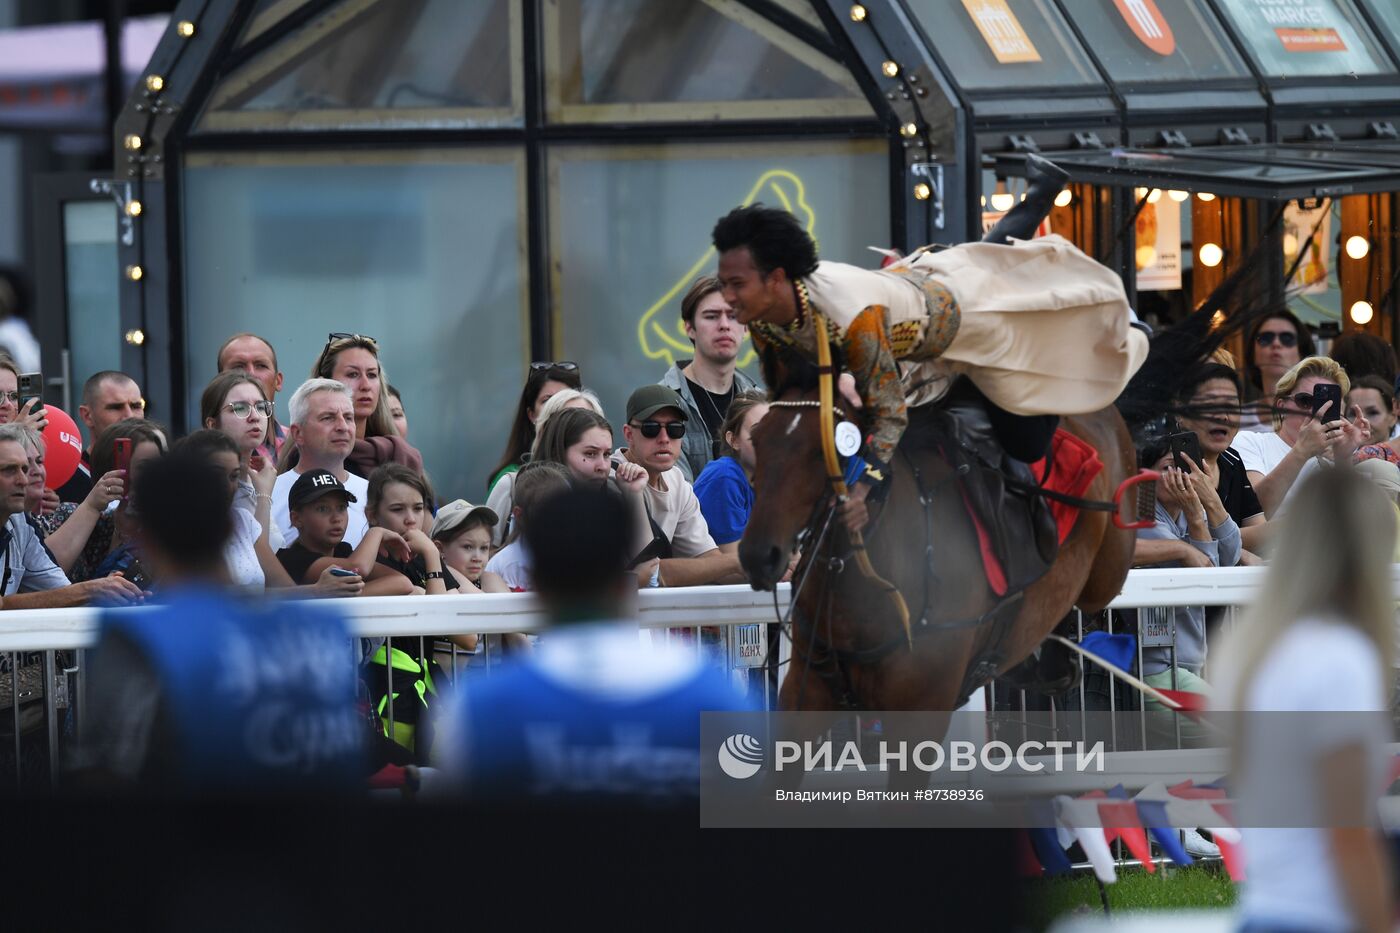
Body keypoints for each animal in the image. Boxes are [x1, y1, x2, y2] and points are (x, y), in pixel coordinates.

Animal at [744, 344, 1136, 708]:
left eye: (824, 450)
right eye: (757, 439)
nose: (760, 556)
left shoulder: (923, 700)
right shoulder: (807, 688)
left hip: (1108, 567)